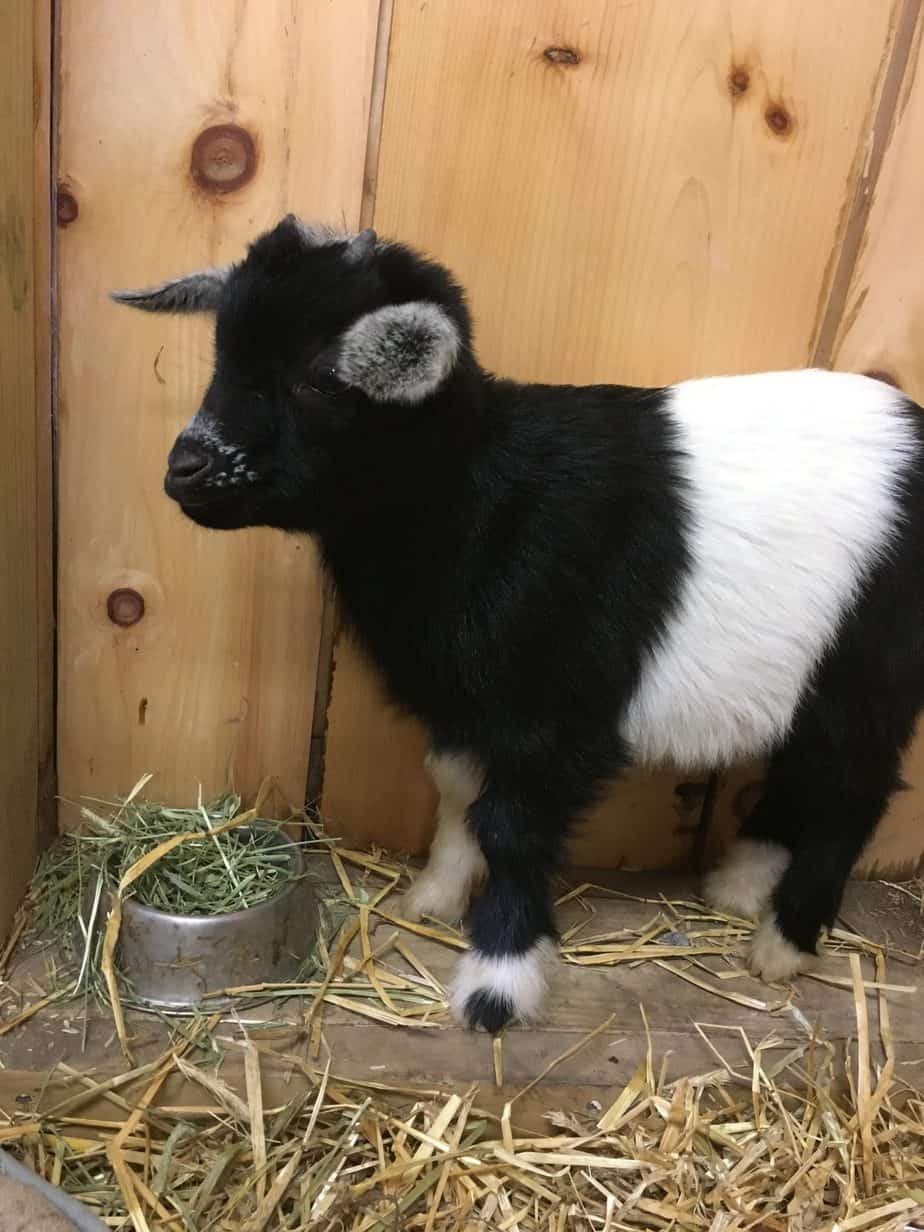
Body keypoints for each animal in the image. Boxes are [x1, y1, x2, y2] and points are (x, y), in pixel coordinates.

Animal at [113, 216, 924, 1032]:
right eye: (222, 353)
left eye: (321, 377)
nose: (184, 470)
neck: (481, 494)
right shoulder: (471, 700)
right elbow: (455, 790)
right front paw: (434, 896)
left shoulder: (552, 715)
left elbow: (513, 826)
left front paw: (497, 981)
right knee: (802, 772)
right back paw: (740, 883)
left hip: (870, 668)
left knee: (851, 790)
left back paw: (784, 941)